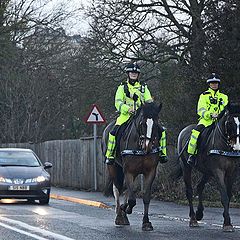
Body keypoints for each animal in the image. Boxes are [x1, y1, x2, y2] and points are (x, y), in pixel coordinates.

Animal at [101, 101, 163, 231]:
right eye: (142, 123)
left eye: (156, 124)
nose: (147, 146)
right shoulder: (128, 171)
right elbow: (132, 200)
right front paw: (125, 208)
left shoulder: (150, 172)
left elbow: (145, 197)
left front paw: (146, 222)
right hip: (114, 168)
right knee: (118, 189)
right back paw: (120, 216)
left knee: (125, 189)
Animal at [174, 102, 240, 232]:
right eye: (229, 122)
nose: (236, 145)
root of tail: (184, 130)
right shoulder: (219, 172)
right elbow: (224, 196)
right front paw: (227, 223)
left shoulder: (232, 172)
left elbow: (229, 195)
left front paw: (226, 219)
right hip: (186, 167)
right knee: (189, 191)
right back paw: (193, 219)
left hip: (207, 172)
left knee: (199, 187)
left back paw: (199, 213)